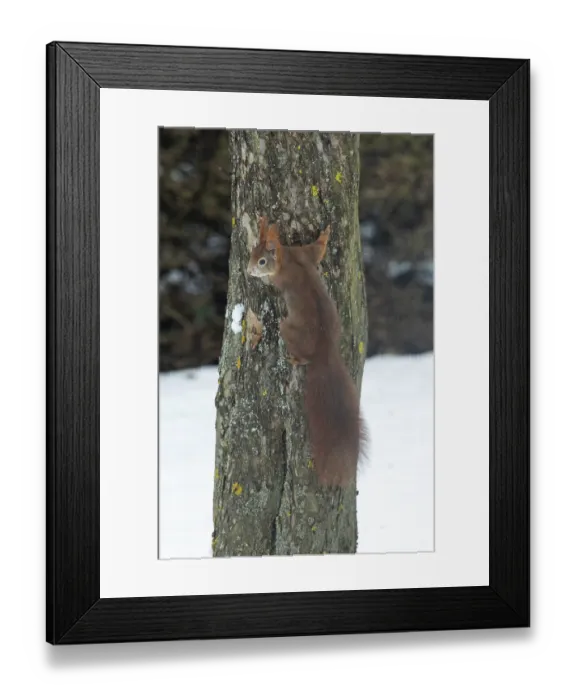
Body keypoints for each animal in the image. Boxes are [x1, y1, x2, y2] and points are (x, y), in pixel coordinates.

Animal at [246, 215, 367, 488]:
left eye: (261, 261)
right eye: (251, 253)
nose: (248, 271)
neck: (287, 259)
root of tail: (324, 351)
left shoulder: (282, 275)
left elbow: (273, 282)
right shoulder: (304, 254)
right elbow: (318, 250)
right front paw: (325, 234)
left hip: (286, 329)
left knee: (298, 351)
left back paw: (295, 358)